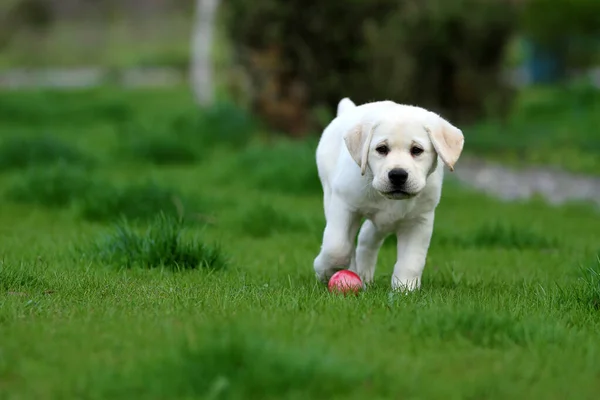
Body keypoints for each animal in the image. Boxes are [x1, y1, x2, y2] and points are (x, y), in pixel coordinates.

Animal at [314, 97, 464, 290]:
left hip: (383, 221)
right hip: (330, 195)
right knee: (349, 242)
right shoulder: (344, 205)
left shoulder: (419, 220)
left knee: (366, 235)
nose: (398, 175)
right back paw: (353, 272)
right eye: (382, 149)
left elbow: (411, 261)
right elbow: (337, 247)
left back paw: (364, 274)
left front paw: (405, 289)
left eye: (417, 150)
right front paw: (323, 269)